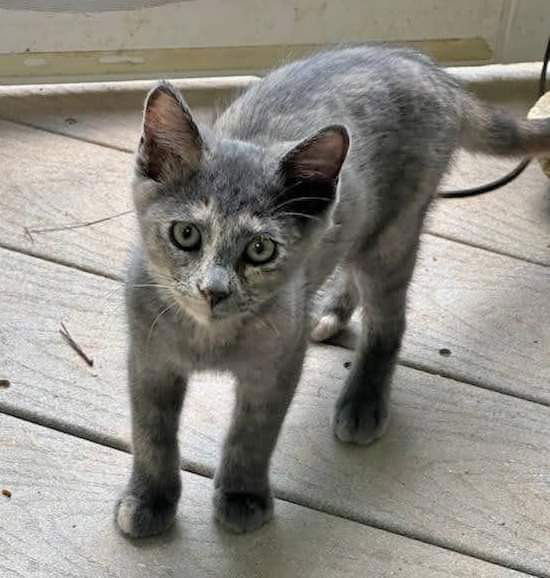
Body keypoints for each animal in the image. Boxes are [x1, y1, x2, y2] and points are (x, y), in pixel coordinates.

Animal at [115, 45, 550, 536]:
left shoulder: (278, 364)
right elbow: (151, 435)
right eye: (186, 234)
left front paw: (242, 495)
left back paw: (363, 400)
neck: (208, 338)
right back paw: (332, 311)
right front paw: (150, 498)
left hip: (393, 233)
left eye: (260, 249)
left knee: (388, 322)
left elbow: (252, 435)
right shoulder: (149, 358)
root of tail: (426, 67)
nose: (214, 290)